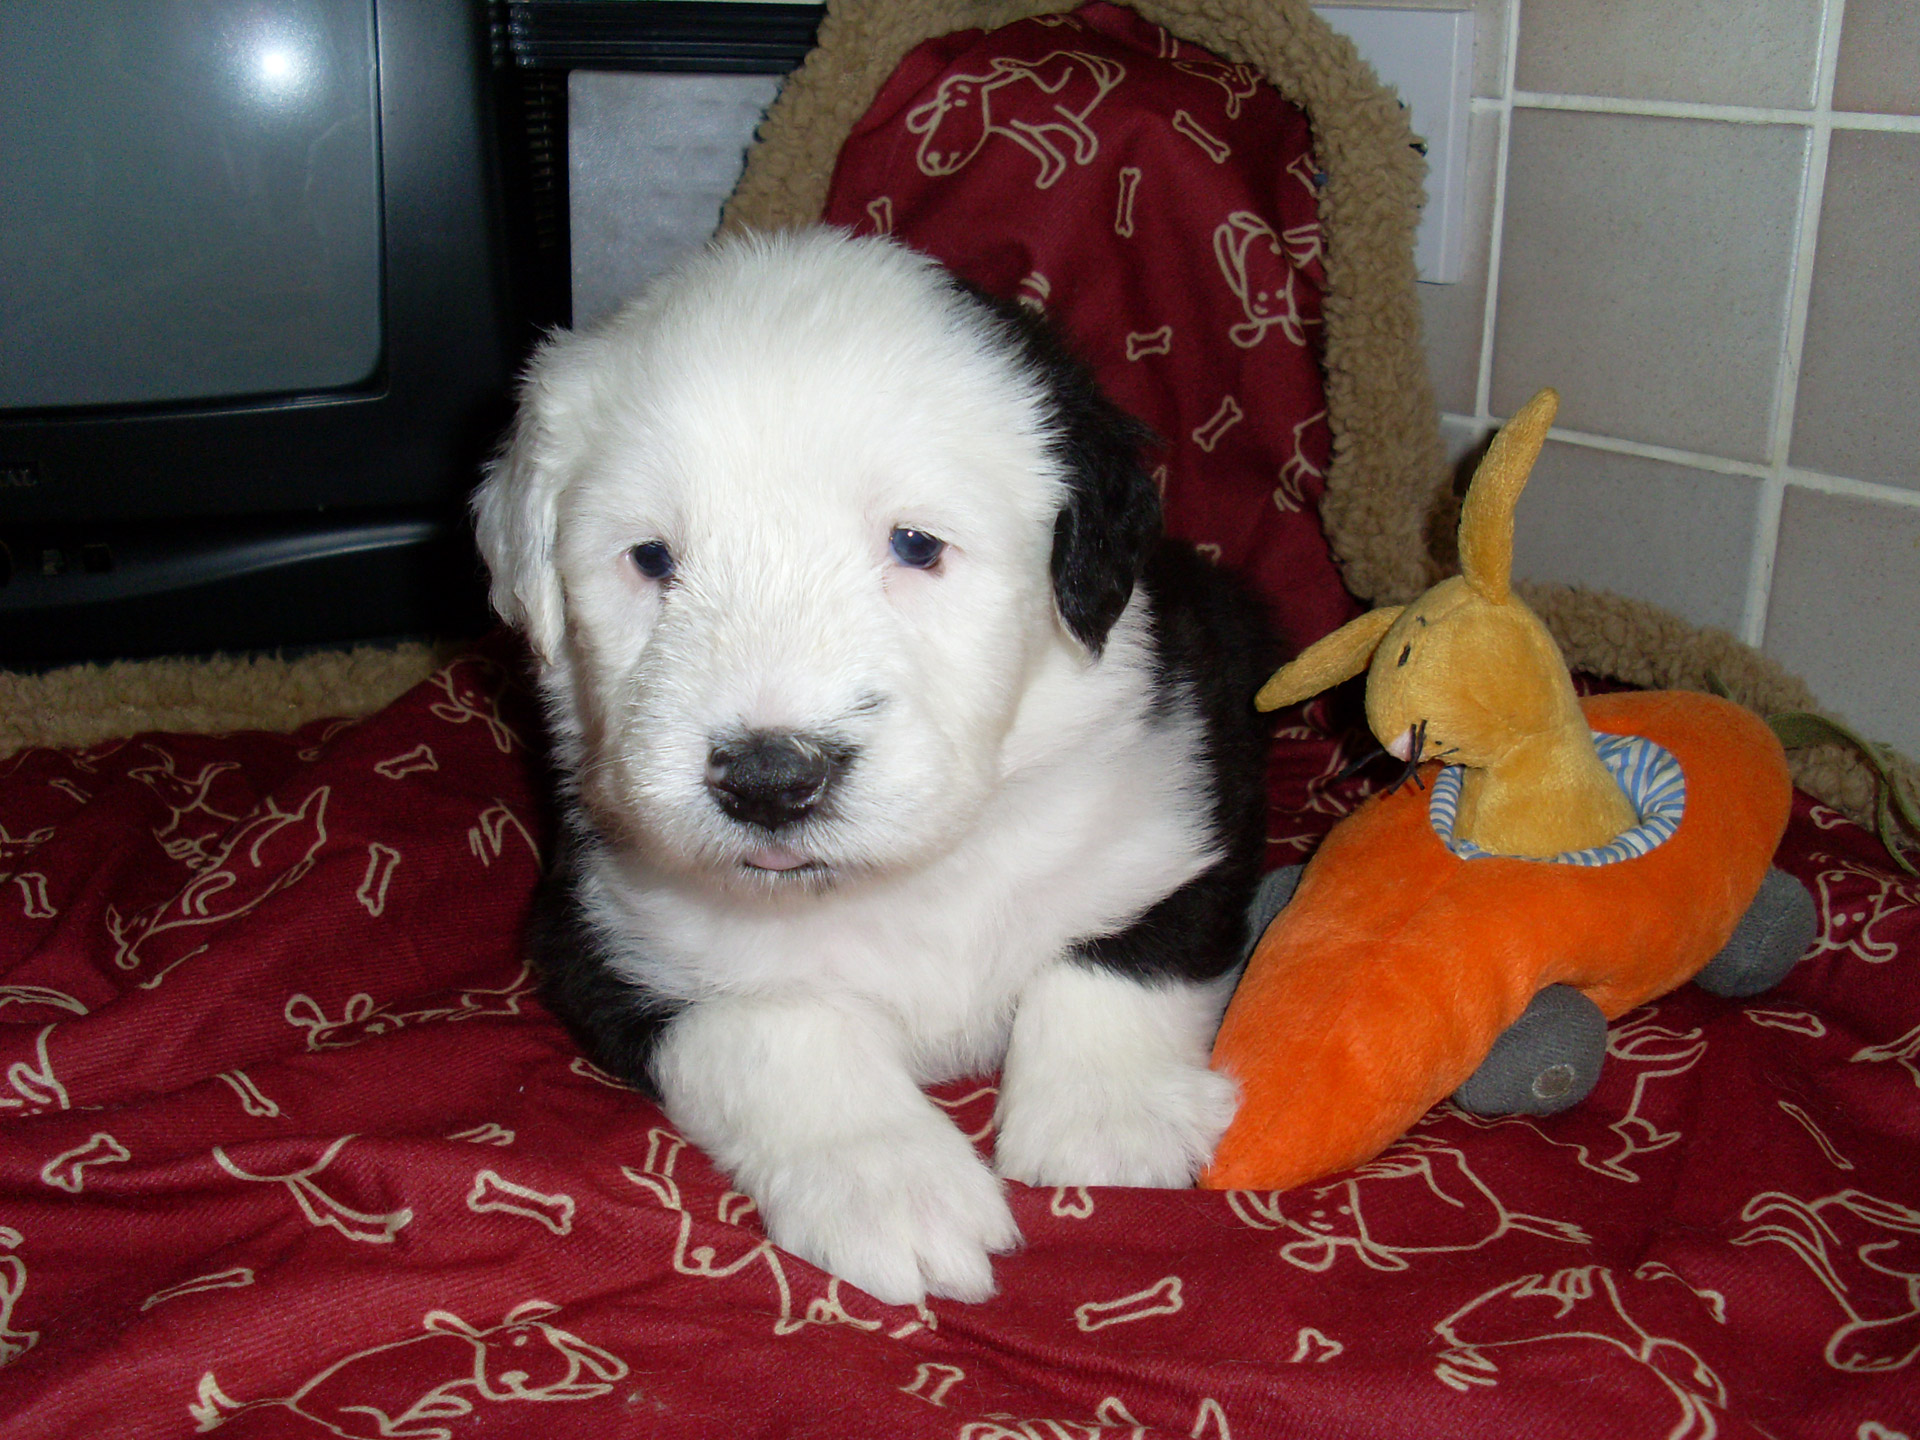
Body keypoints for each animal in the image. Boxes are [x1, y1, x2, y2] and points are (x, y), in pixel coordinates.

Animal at [468, 225, 1274, 1305]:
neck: (902, 877)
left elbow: (1128, 946)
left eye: (916, 544)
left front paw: (1110, 1118)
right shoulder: (605, 933)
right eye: (651, 558)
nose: (769, 779)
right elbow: (779, 1029)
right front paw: (894, 1188)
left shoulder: (1188, 786)